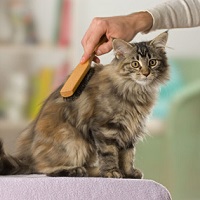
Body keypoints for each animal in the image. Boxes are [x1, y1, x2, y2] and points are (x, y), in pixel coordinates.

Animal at [0, 31, 169, 178]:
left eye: (152, 62)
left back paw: (93, 171)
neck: (135, 90)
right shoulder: (105, 127)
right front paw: (112, 172)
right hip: (73, 140)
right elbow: (109, 154)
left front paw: (128, 172)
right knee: (41, 168)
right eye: (135, 64)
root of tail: (27, 156)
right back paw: (74, 170)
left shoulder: (130, 129)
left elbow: (128, 155)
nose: (146, 73)